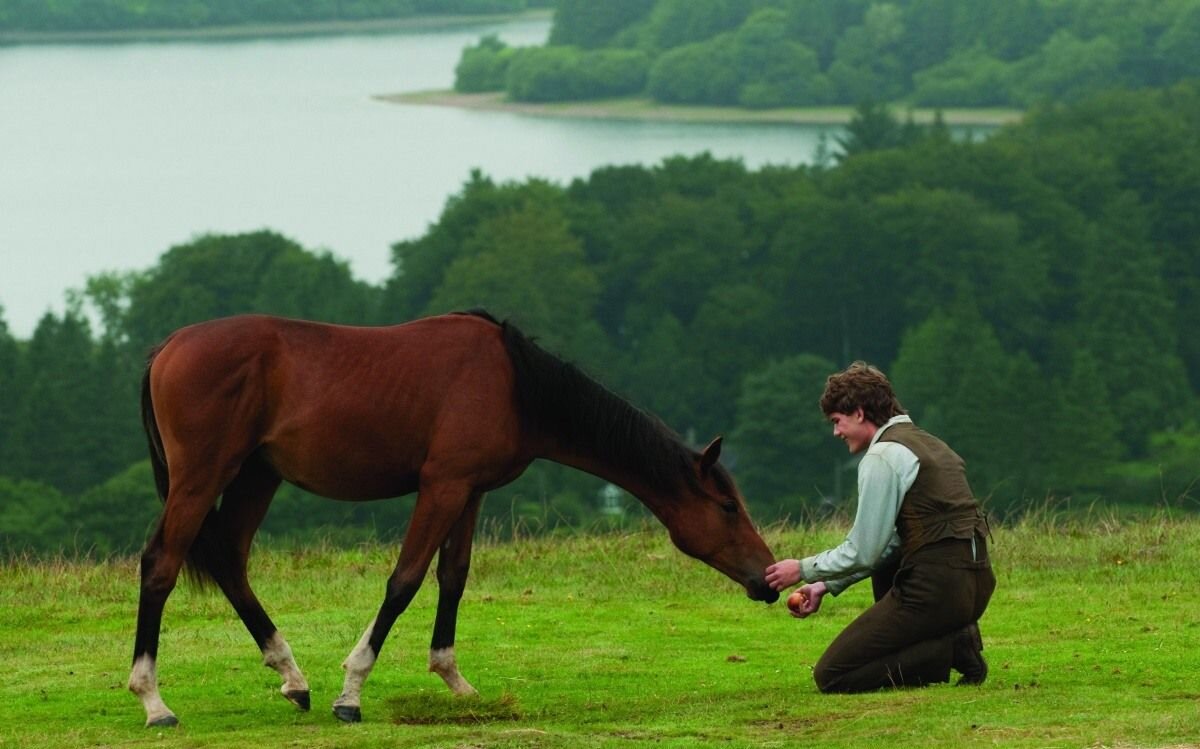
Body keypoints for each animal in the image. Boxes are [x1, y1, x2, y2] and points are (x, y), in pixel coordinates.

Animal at [129, 309, 777, 724]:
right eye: (727, 507)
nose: (768, 579)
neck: (514, 384)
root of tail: (166, 348)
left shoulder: (470, 492)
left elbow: (453, 578)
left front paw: (453, 678)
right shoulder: (441, 488)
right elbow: (405, 581)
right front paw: (352, 691)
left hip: (255, 477)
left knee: (231, 564)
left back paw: (292, 676)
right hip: (203, 477)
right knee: (161, 565)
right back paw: (153, 700)